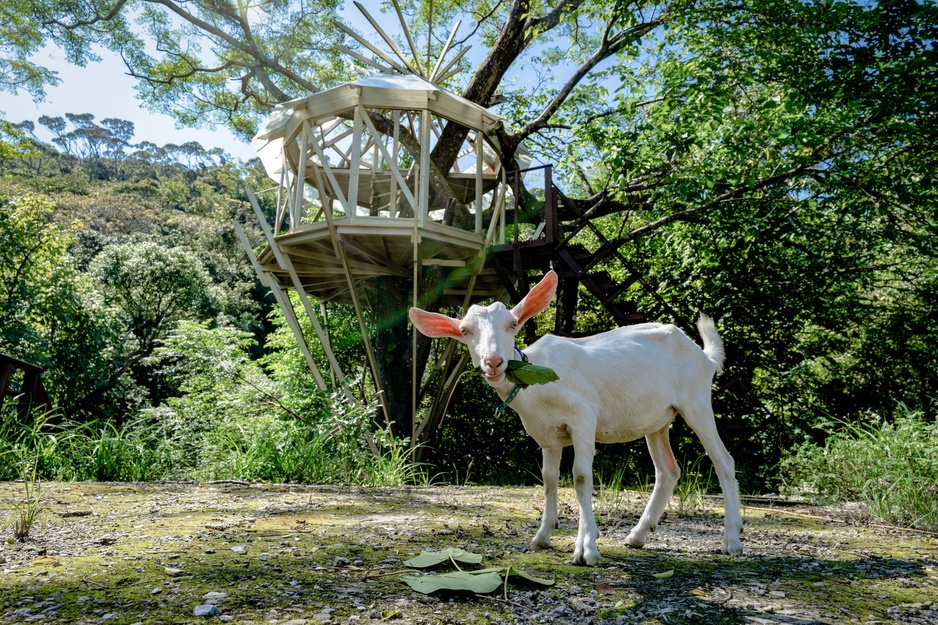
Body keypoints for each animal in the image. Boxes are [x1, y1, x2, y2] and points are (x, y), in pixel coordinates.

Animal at [408, 270, 740, 564]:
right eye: (465, 331)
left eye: (513, 324)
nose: (493, 361)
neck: (534, 383)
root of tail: (704, 356)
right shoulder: (548, 436)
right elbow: (549, 479)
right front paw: (542, 537)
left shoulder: (583, 417)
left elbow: (580, 476)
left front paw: (587, 549)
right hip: (657, 419)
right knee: (668, 471)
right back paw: (637, 535)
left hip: (696, 401)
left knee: (723, 461)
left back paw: (732, 540)